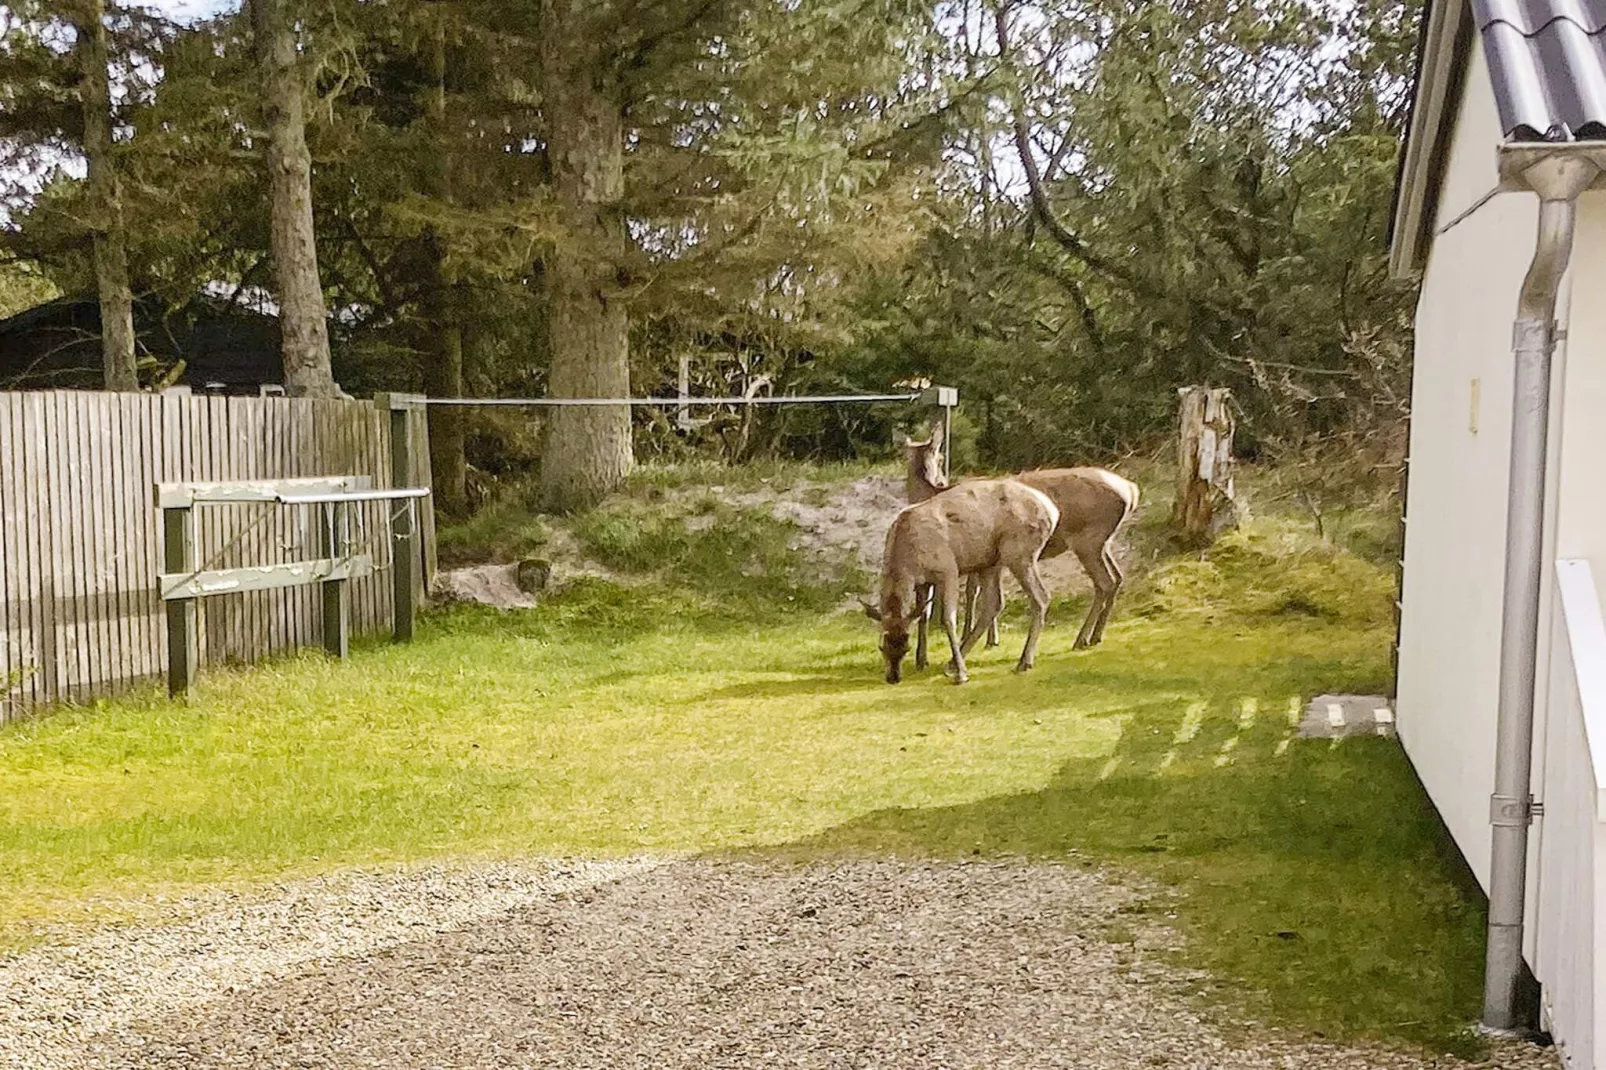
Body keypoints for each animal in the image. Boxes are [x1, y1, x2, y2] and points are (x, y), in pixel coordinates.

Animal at [860, 475, 1059, 684]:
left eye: (906, 646)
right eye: (881, 646)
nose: (893, 677)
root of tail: (1053, 511)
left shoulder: (948, 569)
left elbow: (948, 618)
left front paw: (962, 675)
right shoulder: (922, 582)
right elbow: (923, 616)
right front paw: (921, 661)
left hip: (1019, 552)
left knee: (1041, 596)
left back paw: (1023, 662)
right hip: (990, 561)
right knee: (994, 604)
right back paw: (953, 663)